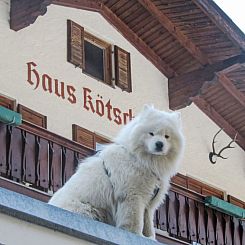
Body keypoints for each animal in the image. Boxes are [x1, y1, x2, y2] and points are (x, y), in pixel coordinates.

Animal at [48, 105, 185, 237]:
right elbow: (136, 220)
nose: (159, 144)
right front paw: (136, 235)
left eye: (167, 136)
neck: (142, 161)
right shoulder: (133, 195)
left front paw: (150, 238)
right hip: (88, 209)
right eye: (151, 133)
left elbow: (148, 223)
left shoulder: (149, 201)